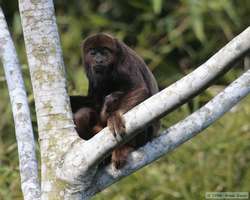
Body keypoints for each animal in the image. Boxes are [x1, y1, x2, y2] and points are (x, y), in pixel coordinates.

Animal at [71, 33, 159, 169]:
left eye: (104, 52)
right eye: (93, 53)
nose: (98, 60)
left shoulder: (125, 60)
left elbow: (139, 89)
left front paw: (114, 116)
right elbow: (93, 101)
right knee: (82, 115)